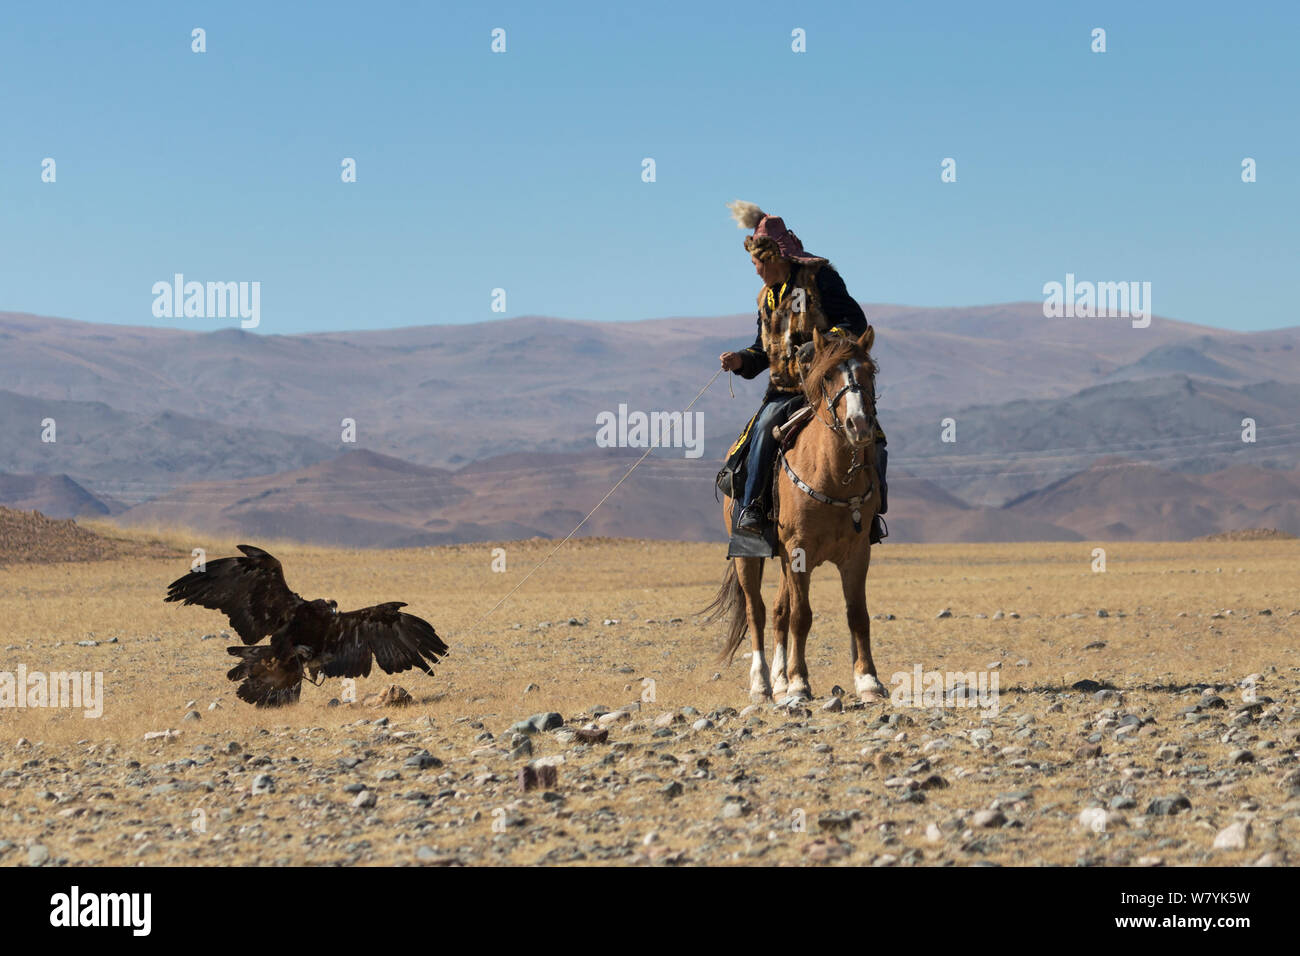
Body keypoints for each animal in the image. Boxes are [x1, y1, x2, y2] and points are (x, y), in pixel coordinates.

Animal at [707, 329, 889, 702]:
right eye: (829, 375)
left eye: (870, 372)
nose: (859, 425)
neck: (832, 474)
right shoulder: (799, 551)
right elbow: (801, 616)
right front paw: (800, 683)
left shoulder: (857, 553)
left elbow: (857, 614)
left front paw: (868, 681)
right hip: (748, 555)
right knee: (758, 611)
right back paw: (763, 684)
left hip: (782, 558)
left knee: (779, 610)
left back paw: (778, 680)